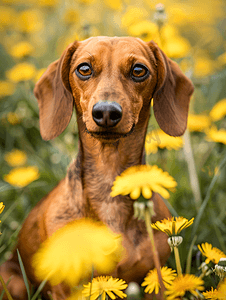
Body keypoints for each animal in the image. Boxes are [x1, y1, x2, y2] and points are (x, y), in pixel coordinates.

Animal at [0, 36, 193, 298]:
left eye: (139, 70)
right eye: (84, 69)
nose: (106, 112)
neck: (107, 188)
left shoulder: (156, 280)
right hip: (14, 283)